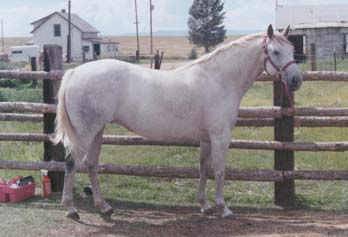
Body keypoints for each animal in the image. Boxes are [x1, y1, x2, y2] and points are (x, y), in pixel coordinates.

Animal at [53, 25, 302, 219]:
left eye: (292, 49)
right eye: (275, 51)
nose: (296, 80)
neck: (219, 79)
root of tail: (75, 72)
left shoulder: (206, 138)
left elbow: (203, 168)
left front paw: (204, 205)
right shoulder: (220, 137)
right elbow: (219, 170)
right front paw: (224, 208)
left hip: (98, 131)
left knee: (91, 164)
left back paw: (104, 207)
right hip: (85, 133)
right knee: (72, 164)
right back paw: (71, 209)